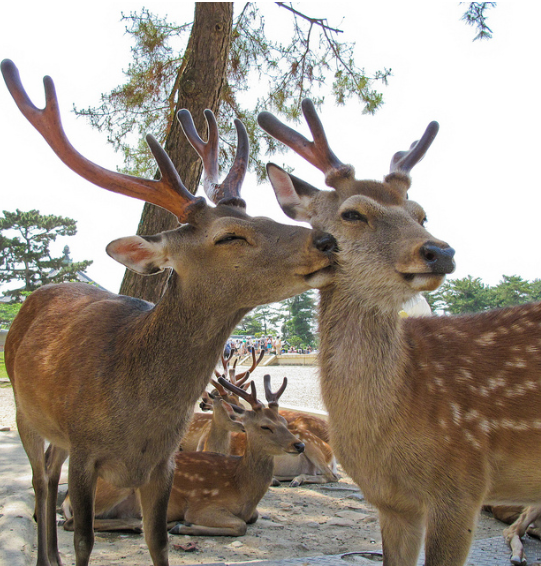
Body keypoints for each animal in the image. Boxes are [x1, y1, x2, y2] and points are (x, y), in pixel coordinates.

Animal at [2, 58, 336, 566]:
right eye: (229, 235)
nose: (328, 240)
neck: (138, 418)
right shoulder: (85, 451)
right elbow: (84, 538)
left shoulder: (162, 462)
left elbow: (157, 540)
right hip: (26, 412)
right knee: (41, 482)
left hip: (58, 435)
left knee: (48, 474)